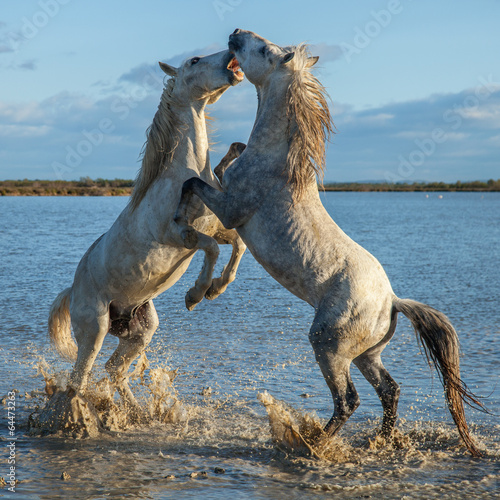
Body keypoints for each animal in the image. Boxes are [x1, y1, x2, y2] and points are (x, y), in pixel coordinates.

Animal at [47, 48, 247, 412]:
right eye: (194, 60)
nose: (231, 52)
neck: (187, 174)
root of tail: (73, 290)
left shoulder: (218, 225)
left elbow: (236, 246)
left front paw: (216, 288)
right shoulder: (178, 235)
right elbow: (210, 248)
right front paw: (195, 294)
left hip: (140, 330)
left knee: (113, 369)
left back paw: (137, 413)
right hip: (94, 330)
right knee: (79, 378)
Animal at [174, 29, 486, 456]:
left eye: (263, 50)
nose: (236, 33)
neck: (277, 162)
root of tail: (392, 301)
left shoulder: (231, 210)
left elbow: (194, 182)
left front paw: (183, 238)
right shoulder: (229, 195)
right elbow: (224, 162)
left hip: (328, 344)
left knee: (349, 399)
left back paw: (310, 442)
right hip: (366, 354)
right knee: (390, 390)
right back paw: (380, 440)